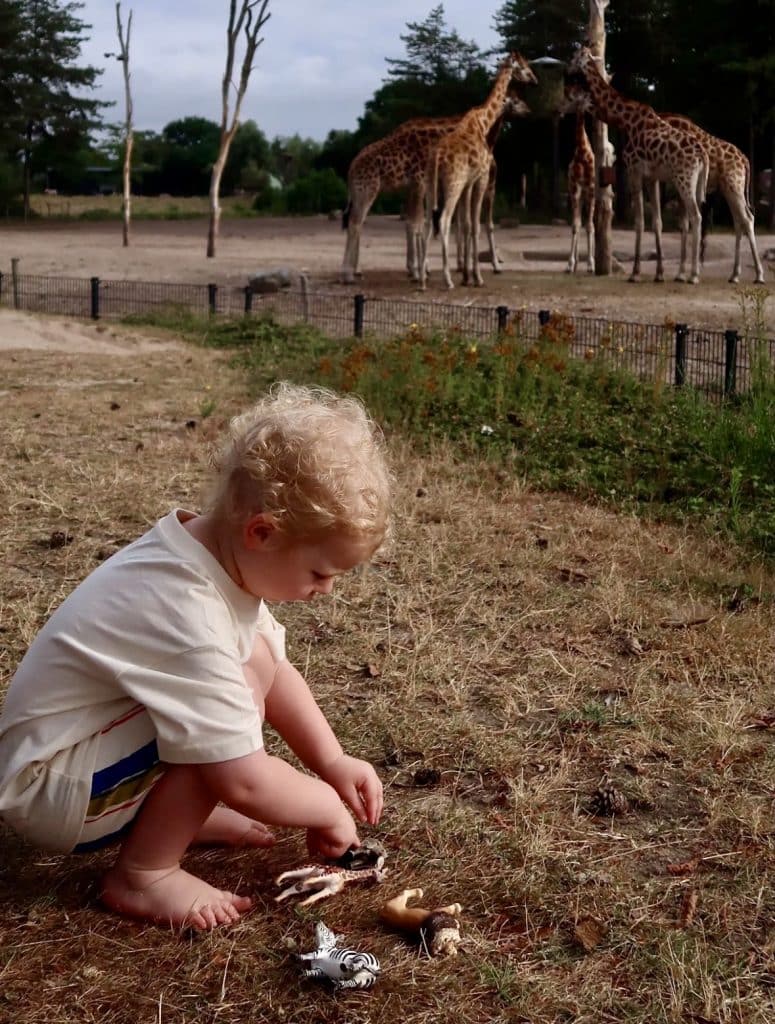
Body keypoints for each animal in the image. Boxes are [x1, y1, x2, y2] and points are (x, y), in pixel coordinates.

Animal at [422, 53, 538, 290]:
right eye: (523, 67)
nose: (535, 80)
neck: (484, 122)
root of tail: (436, 158)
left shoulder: (469, 183)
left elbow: (467, 225)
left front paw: (468, 275)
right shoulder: (481, 179)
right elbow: (476, 225)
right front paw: (477, 276)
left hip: (431, 187)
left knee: (428, 223)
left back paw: (422, 278)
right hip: (453, 184)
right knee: (444, 221)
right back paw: (447, 279)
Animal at [566, 47, 709, 284]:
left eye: (575, 56)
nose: (567, 70)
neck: (626, 119)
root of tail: (703, 156)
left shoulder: (634, 171)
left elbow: (639, 222)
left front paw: (635, 273)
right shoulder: (652, 176)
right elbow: (657, 222)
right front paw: (659, 273)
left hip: (683, 178)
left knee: (695, 216)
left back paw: (694, 276)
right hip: (696, 183)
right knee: (698, 216)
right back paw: (691, 272)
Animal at [658, 113, 765, 284]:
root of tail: (745, 160)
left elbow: (687, 224)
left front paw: (684, 274)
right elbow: (684, 225)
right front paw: (681, 274)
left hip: (735, 186)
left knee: (747, 218)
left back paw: (759, 275)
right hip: (728, 189)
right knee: (738, 221)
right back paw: (734, 275)